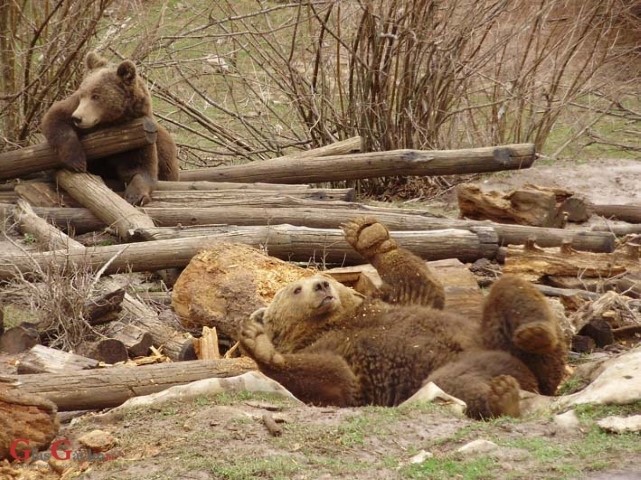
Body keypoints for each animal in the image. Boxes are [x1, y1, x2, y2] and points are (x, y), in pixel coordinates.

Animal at [41, 51, 178, 205]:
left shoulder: (140, 133)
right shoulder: (72, 108)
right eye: (82, 94)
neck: (110, 121)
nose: (77, 117)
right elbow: (55, 118)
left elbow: (141, 168)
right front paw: (78, 161)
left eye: (96, 96)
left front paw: (136, 196)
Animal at [240, 216, 564, 418]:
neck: (332, 322)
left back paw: (536, 333)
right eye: (297, 288)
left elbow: (420, 286)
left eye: (324, 278)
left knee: (510, 289)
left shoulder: (381, 303)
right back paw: (503, 396)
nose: (322, 285)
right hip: (458, 367)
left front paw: (367, 233)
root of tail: (531, 381)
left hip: (490, 336)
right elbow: (337, 380)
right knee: (453, 383)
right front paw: (259, 343)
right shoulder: (334, 350)